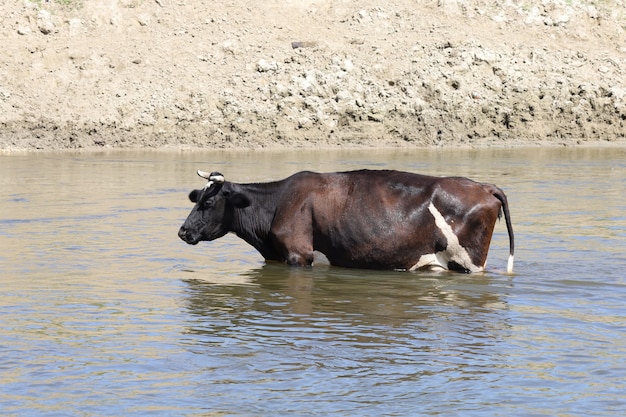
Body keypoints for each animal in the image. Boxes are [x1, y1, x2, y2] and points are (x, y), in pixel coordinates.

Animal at [178, 169, 516, 272]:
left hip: (469, 262)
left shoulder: (298, 256)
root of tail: (483, 185)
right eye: (197, 199)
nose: (182, 231)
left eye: (208, 202)